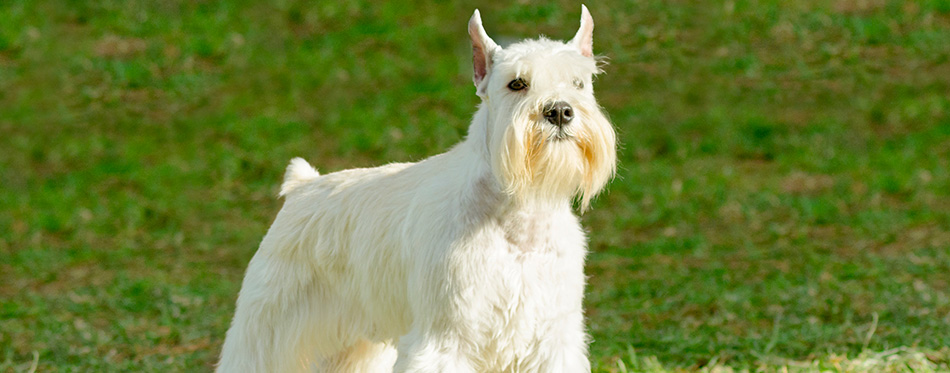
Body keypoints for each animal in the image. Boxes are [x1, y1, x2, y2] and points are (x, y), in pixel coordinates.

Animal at [218, 5, 616, 370]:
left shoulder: (552, 337)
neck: (518, 213)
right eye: (517, 83)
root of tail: (303, 185)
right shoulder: (445, 339)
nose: (560, 111)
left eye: (579, 83)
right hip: (267, 328)